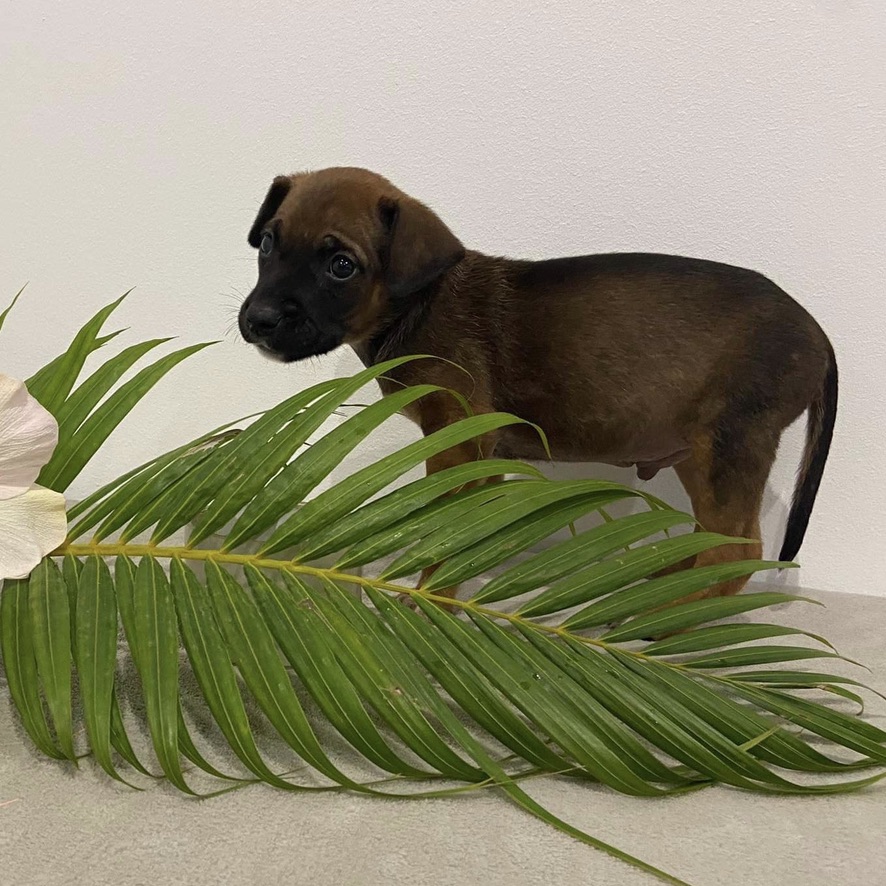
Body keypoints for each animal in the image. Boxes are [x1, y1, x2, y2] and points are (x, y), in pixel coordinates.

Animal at [239, 166, 836, 604]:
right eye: (266, 243)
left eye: (342, 266)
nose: (257, 321)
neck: (418, 305)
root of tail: (819, 336)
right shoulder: (480, 452)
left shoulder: (458, 438)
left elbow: (444, 526)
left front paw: (430, 596)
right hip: (700, 452)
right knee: (714, 539)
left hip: (729, 448)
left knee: (738, 551)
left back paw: (668, 619)